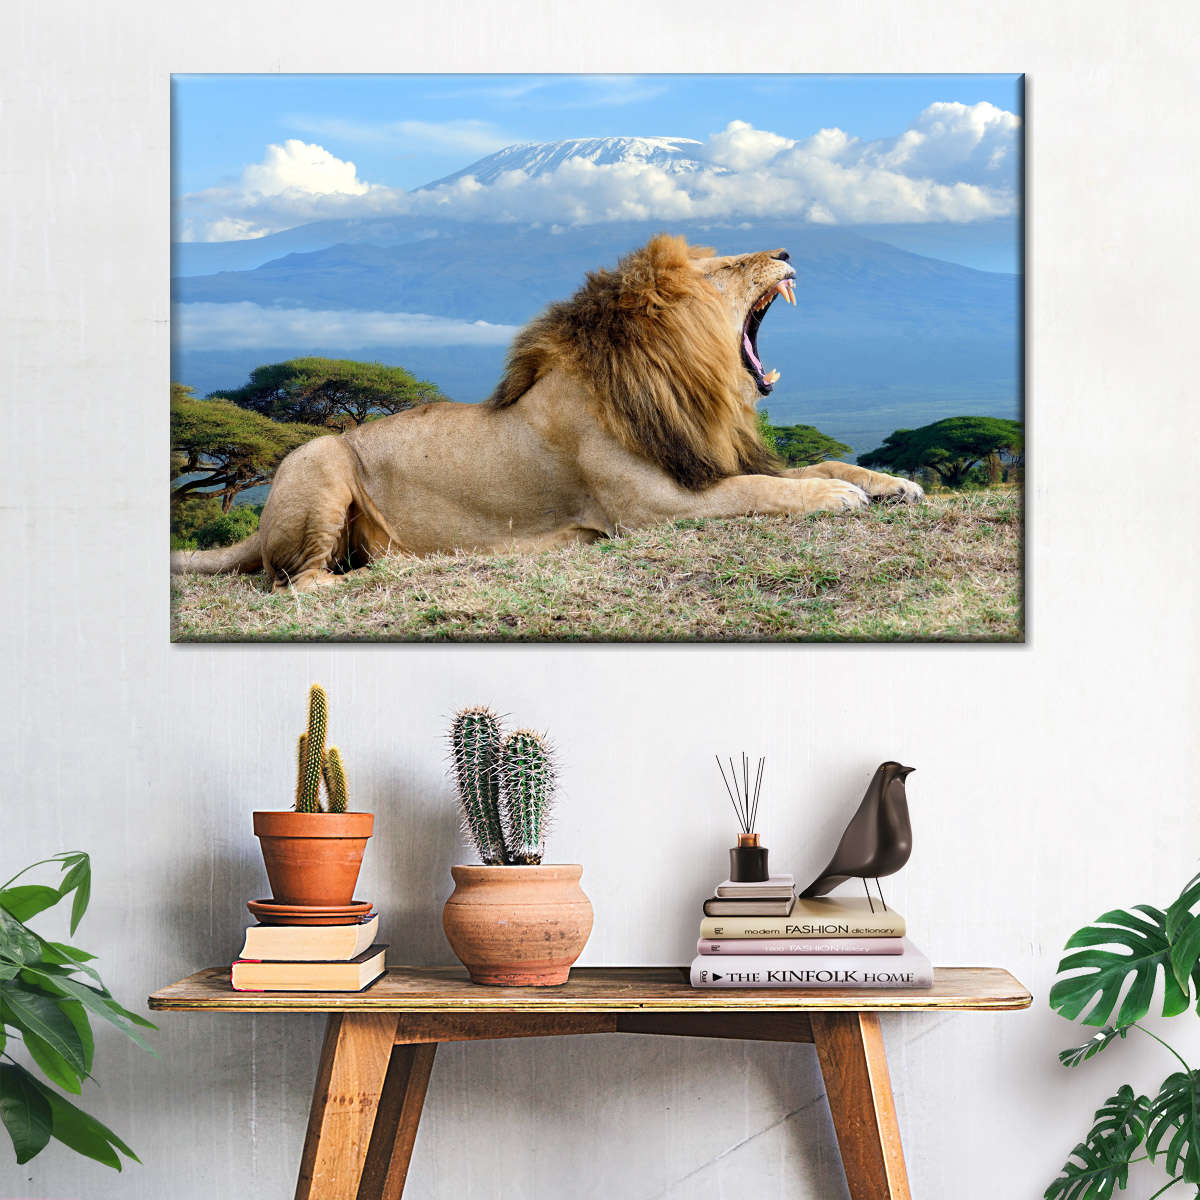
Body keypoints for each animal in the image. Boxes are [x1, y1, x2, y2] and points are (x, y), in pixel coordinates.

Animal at [172, 234, 922, 591]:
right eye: (726, 269)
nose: (788, 251)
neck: (683, 382)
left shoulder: (704, 459)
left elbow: (810, 462)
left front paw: (892, 483)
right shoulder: (652, 509)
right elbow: (763, 490)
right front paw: (838, 497)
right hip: (320, 458)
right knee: (299, 583)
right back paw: (398, 567)